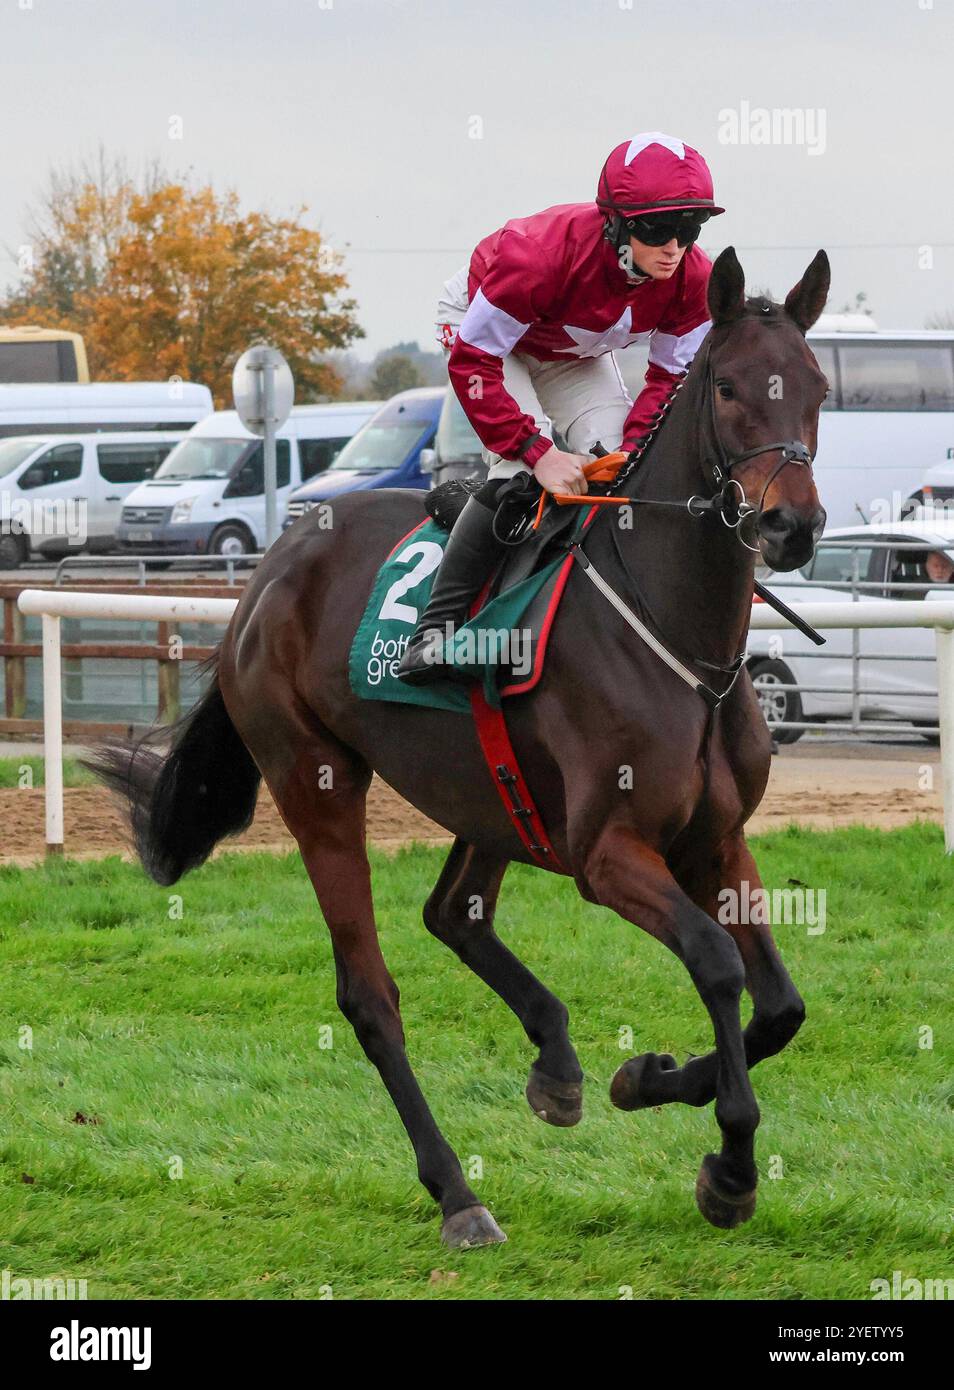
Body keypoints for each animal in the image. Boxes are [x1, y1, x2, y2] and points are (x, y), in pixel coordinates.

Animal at [93, 247, 834, 1251]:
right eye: (725, 388)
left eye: (817, 387)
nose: (793, 525)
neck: (681, 642)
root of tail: (269, 572)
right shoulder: (607, 854)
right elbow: (718, 965)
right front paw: (727, 1165)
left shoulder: (718, 838)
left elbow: (783, 1006)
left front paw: (645, 1080)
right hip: (316, 780)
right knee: (370, 996)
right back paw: (457, 1192)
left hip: (491, 790)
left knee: (455, 913)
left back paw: (556, 1060)